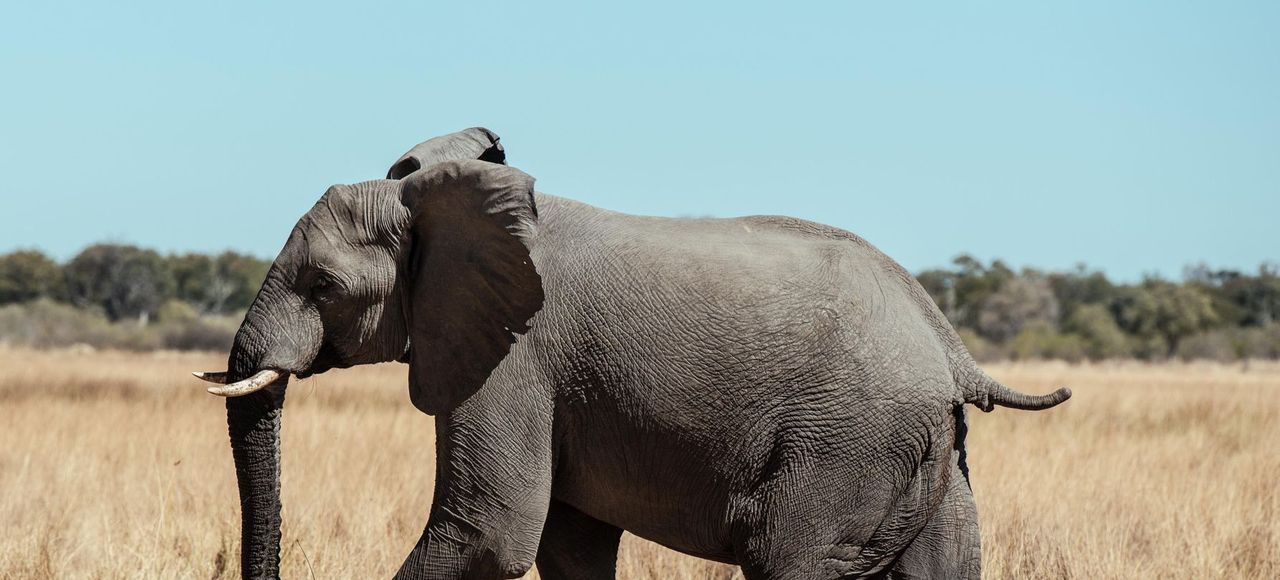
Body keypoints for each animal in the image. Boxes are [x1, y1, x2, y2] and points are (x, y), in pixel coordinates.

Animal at [195, 127, 1070, 579]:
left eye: (322, 283)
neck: (447, 201)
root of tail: (948, 347)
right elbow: (569, 545)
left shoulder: (514, 358)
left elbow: (489, 532)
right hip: (929, 457)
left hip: (844, 446)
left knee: (788, 562)